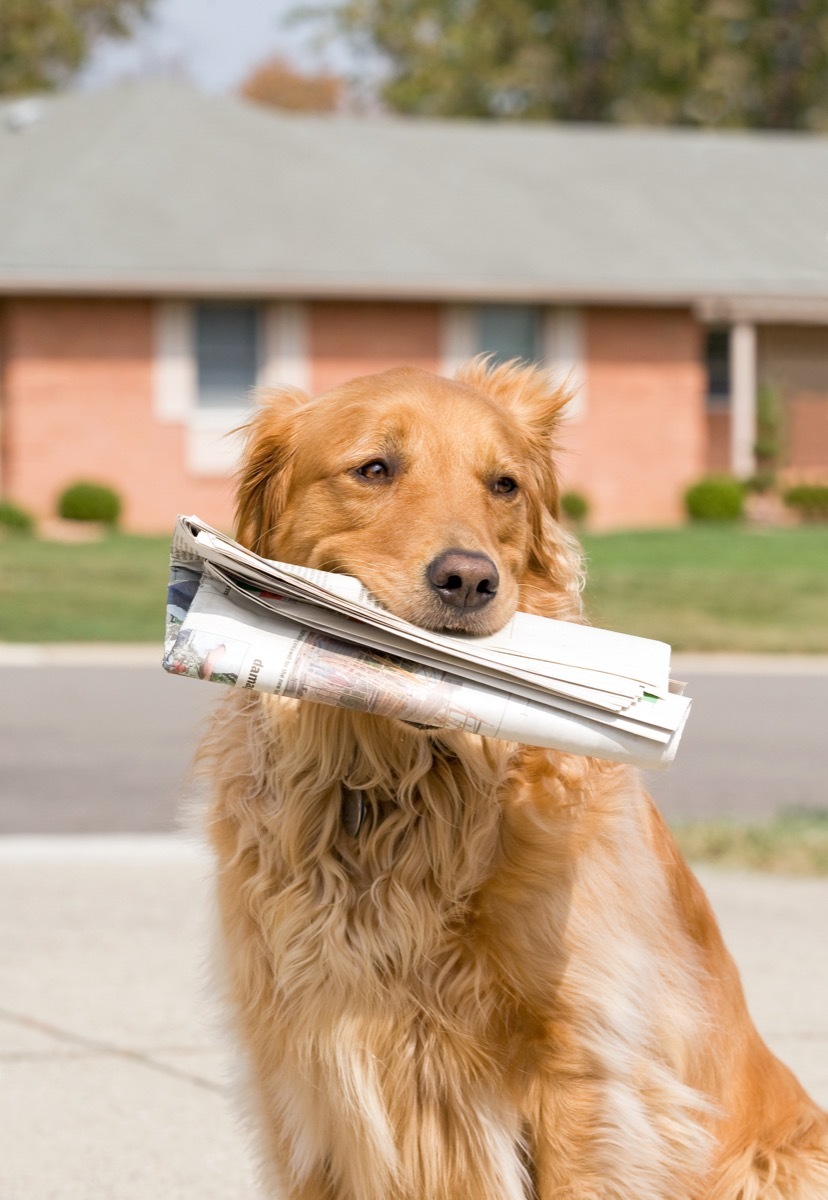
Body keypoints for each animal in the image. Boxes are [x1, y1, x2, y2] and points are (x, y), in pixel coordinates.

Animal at [200, 360, 825, 1195]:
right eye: (374, 468)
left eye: (504, 485)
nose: (469, 580)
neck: (402, 795)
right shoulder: (300, 1076)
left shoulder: (585, 1070)